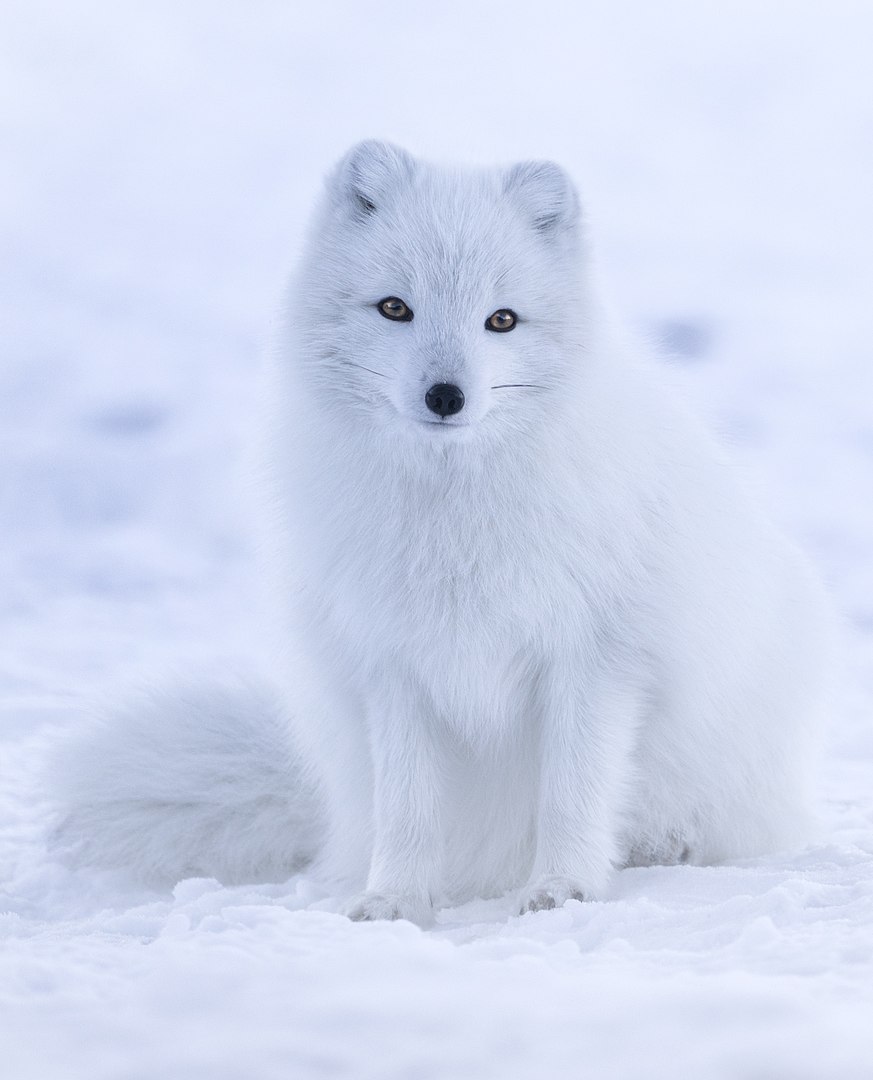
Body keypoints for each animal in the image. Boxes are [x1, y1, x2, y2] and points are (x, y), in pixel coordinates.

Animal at [52, 141, 829, 925]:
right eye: (395, 308)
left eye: (502, 320)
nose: (446, 396)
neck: (453, 515)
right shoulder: (393, 664)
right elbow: (408, 808)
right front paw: (394, 899)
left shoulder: (595, 658)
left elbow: (572, 793)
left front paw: (563, 889)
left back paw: (665, 845)